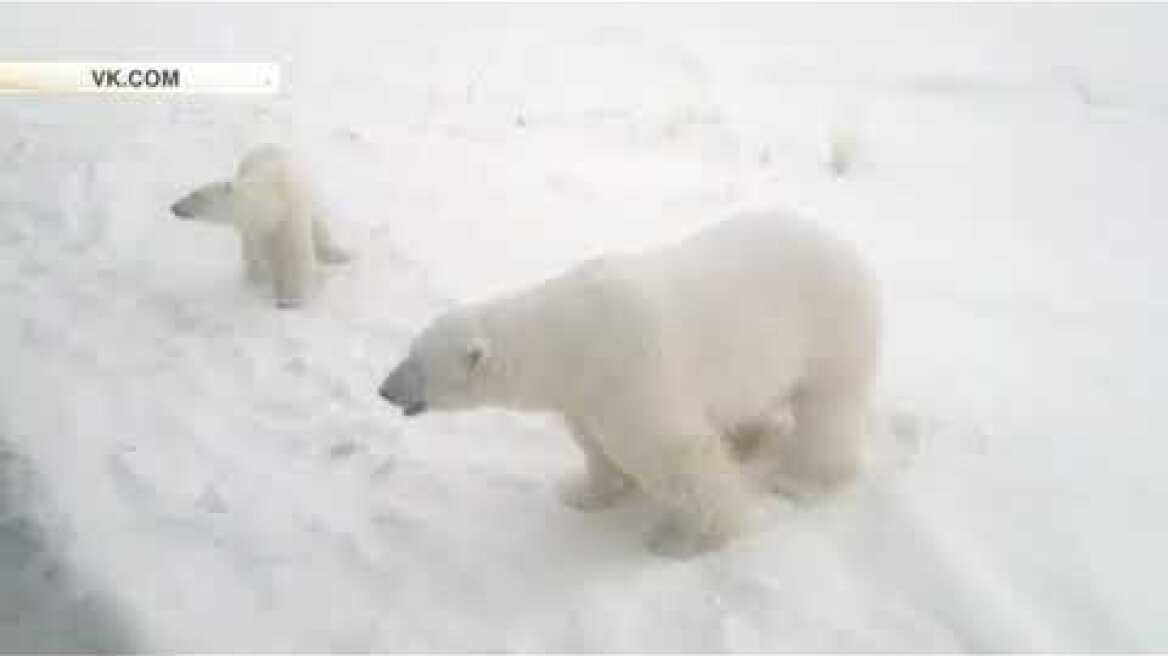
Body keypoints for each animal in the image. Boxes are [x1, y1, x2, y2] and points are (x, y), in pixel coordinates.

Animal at [170, 144, 351, 309]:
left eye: (196, 195)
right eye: (192, 193)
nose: (174, 207)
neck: (272, 202)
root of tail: (266, 145)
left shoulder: (289, 219)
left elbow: (296, 258)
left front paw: (290, 301)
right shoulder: (258, 231)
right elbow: (266, 258)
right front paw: (272, 291)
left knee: (319, 226)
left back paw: (337, 254)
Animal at [377, 210, 881, 557]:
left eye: (417, 364)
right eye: (408, 349)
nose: (384, 389)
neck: (571, 336)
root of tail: (848, 248)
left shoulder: (631, 371)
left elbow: (678, 455)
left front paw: (685, 540)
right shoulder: (586, 394)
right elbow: (596, 445)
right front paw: (583, 493)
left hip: (830, 331)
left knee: (828, 408)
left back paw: (803, 480)